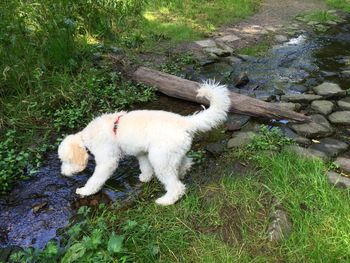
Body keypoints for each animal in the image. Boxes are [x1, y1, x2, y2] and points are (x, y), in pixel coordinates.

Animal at [58, 81, 231, 206]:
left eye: (67, 161)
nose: (63, 174)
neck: (88, 135)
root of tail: (184, 122)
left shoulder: (107, 160)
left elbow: (96, 178)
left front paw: (85, 191)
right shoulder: (141, 152)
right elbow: (145, 166)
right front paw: (145, 178)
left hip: (160, 158)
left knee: (176, 187)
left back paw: (166, 200)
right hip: (171, 153)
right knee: (185, 163)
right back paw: (181, 173)